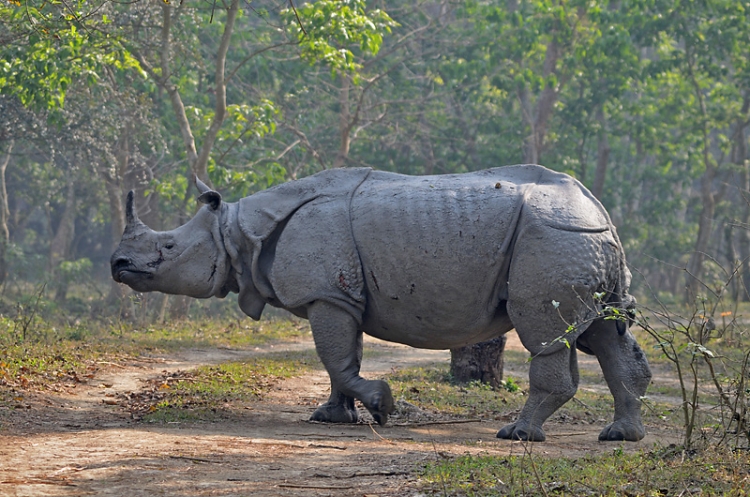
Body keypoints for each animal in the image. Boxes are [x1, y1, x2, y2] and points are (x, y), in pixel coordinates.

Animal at [110, 166, 652, 442]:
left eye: (168, 248)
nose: (117, 264)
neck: (239, 230)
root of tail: (596, 206)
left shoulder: (327, 293)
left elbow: (337, 359)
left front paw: (383, 407)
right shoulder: (338, 296)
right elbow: (338, 360)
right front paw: (331, 418)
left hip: (554, 236)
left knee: (545, 334)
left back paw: (516, 434)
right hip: (579, 239)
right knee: (604, 333)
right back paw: (620, 436)